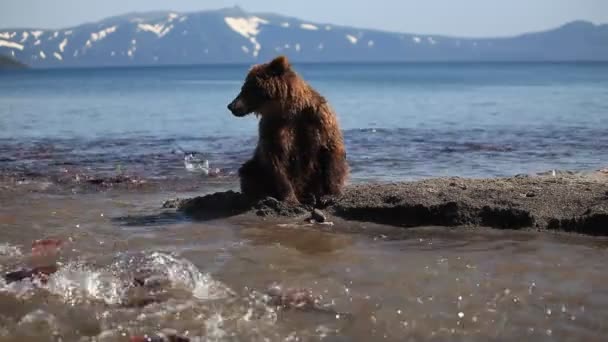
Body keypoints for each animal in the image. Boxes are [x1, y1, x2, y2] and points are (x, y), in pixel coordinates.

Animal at [228, 56, 350, 204]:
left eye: (247, 88)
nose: (231, 106)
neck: (289, 110)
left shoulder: (319, 119)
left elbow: (331, 150)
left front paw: (330, 195)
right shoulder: (273, 127)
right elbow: (275, 159)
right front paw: (290, 198)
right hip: (256, 167)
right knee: (248, 172)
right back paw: (266, 197)